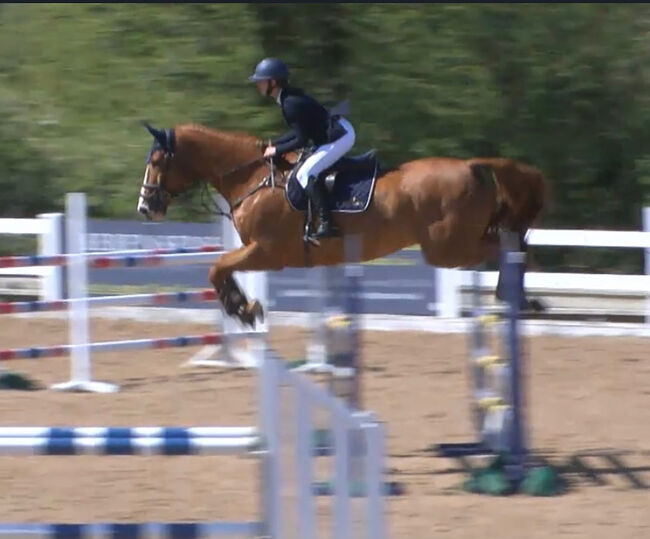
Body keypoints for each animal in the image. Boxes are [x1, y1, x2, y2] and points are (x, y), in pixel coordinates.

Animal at [138, 124, 548, 326]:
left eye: (157, 160)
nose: (145, 206)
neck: (252, 177)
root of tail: (471, 165)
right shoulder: (256, 251)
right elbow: (222, 268)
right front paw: (243, 306)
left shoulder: (267, 252)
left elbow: (216, 267)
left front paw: (241, 309)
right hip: (454, 244)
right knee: (514, 244)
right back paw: (524, 298)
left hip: (448, 248)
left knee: (510, 247)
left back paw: (518, 298)